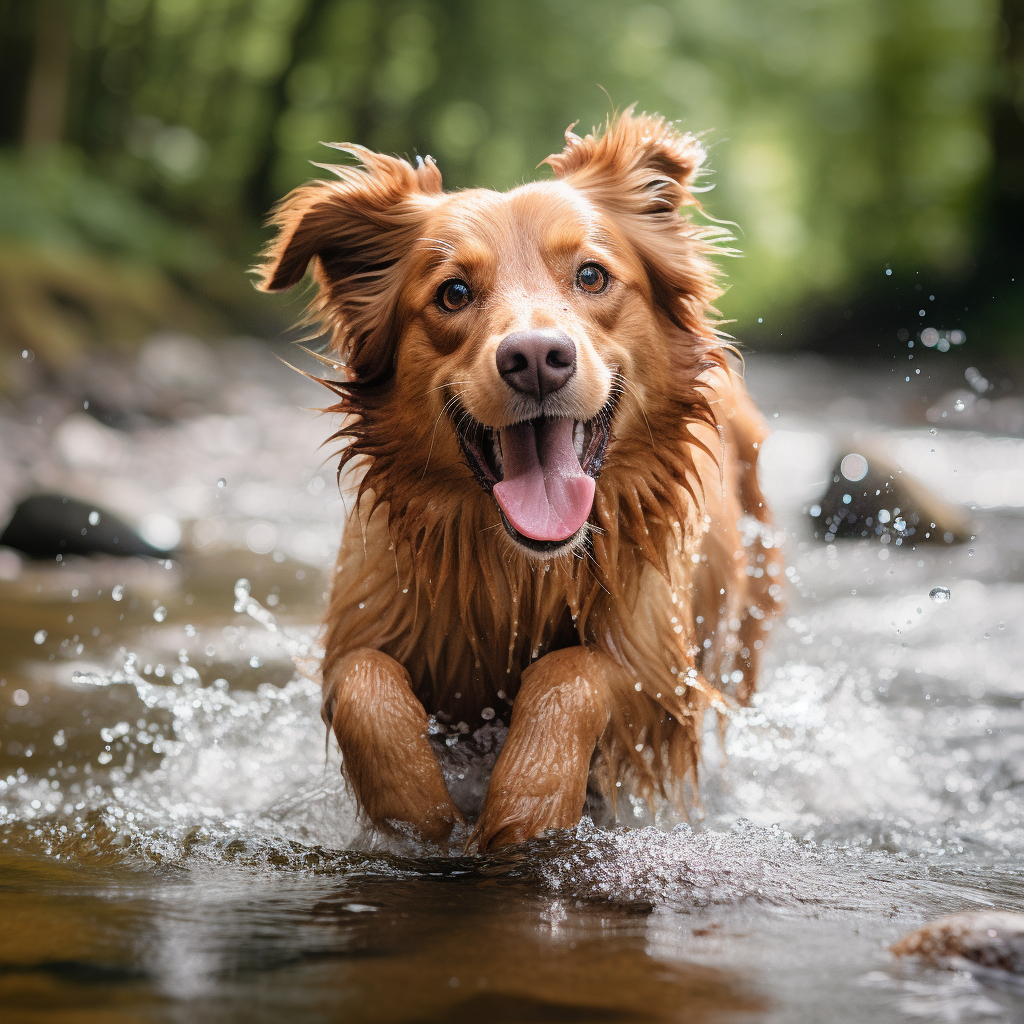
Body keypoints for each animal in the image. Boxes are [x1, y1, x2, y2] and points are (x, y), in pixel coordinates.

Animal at [258, 110, 782, 847]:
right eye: (453, 292)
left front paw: (527, 803)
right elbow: (365, 682)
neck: (519, 578)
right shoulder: (367, 616)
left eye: (591, 276)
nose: (536, 357)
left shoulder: (658, 675)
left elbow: (572, 672)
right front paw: (420, 812)